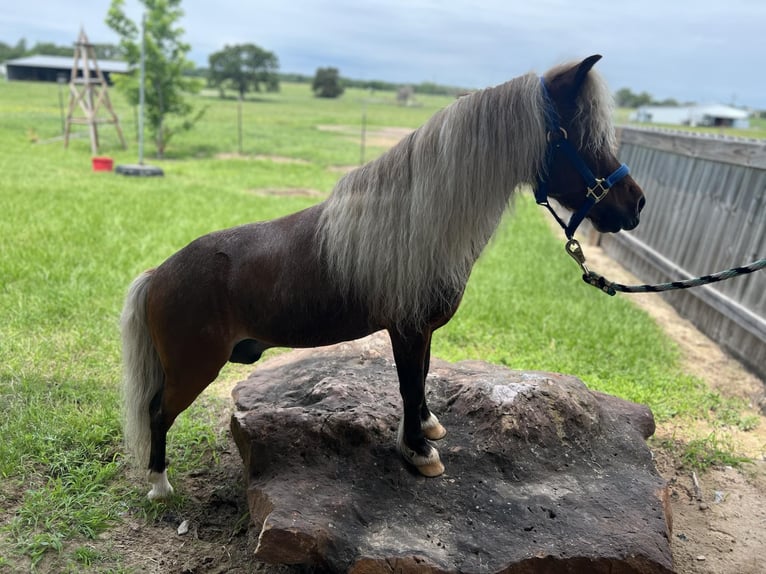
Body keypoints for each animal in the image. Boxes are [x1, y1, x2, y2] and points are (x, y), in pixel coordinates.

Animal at [123, 55, 644, 500]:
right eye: (581, 137)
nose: (635, 204)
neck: (416, 223)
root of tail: (157, 274)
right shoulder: (407, 329)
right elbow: (409, 384)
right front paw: (419, 452)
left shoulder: (422, 330)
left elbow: (423, 378)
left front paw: (427, 427)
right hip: (193, 371)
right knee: (157, 413)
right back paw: (160, 487)